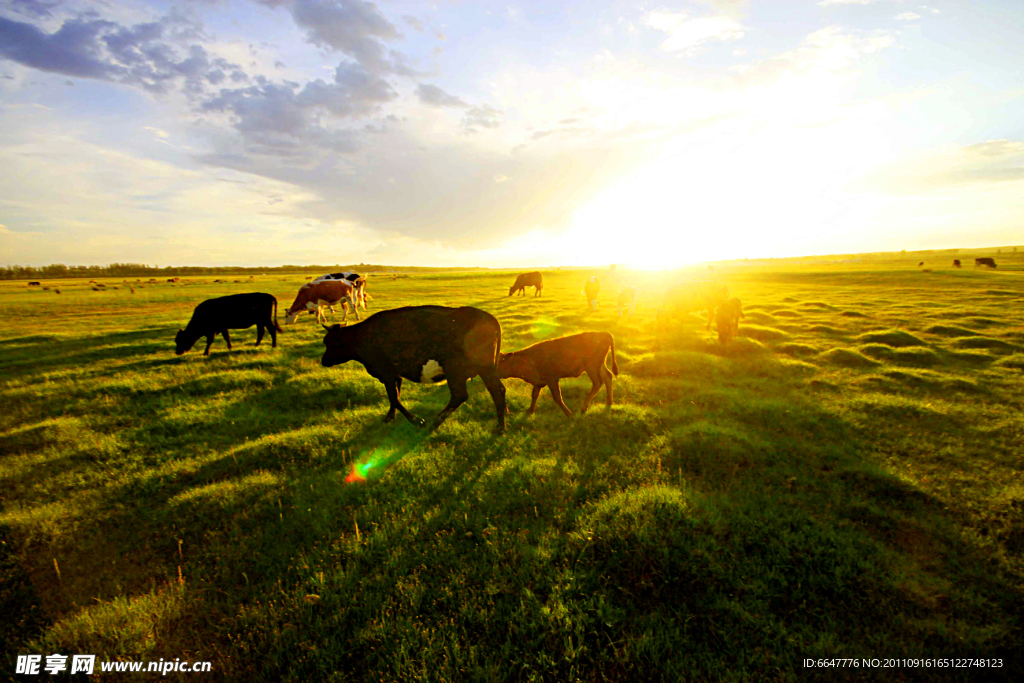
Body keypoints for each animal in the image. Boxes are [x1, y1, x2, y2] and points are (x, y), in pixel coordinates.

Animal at [321, 305, 505, 432]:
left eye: (331, 343)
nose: (323, 361)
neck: (362, 337)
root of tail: (488, 317)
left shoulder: (386, 373)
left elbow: (394, 398)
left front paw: (416, 421)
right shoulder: (395, 375)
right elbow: (395, 397)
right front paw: (390, 417)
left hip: (457, 370)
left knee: (461, 395)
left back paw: (436, 422)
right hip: (485, 370)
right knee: (497, 390)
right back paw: (500, 427)